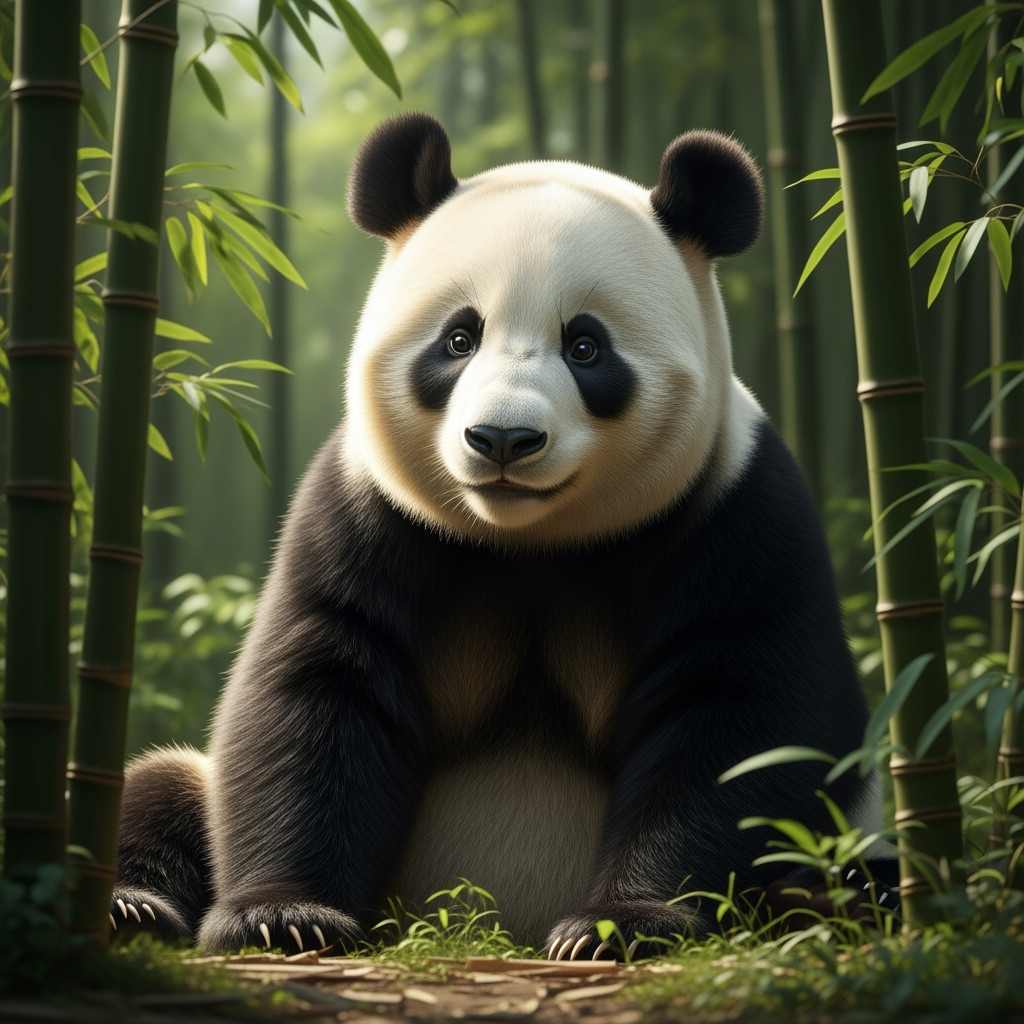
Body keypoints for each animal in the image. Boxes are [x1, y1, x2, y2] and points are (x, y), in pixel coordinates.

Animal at [110, 112, 890, 957]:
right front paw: (281, 915)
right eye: (459, 339)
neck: (531, 543)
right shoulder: (363, 514)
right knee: (159, 788)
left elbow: (737, 718)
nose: (504, 440)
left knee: (867, 871)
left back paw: (821, 902)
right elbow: (320, 691)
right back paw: (134, 905)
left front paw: (621, 923)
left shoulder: (738, 516)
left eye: (585, 346)